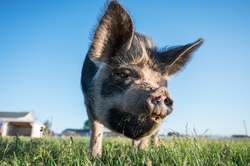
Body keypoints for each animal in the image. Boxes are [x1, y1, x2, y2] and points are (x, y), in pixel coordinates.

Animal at [81, 0, 203, 158]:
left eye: (158, 82)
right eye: (123, 74)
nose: (161, 91)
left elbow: (146, 137)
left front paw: (143, 154)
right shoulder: (88, 101)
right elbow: (96, 132)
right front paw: (95, 158)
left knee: (154, 136)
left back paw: (152, 149)